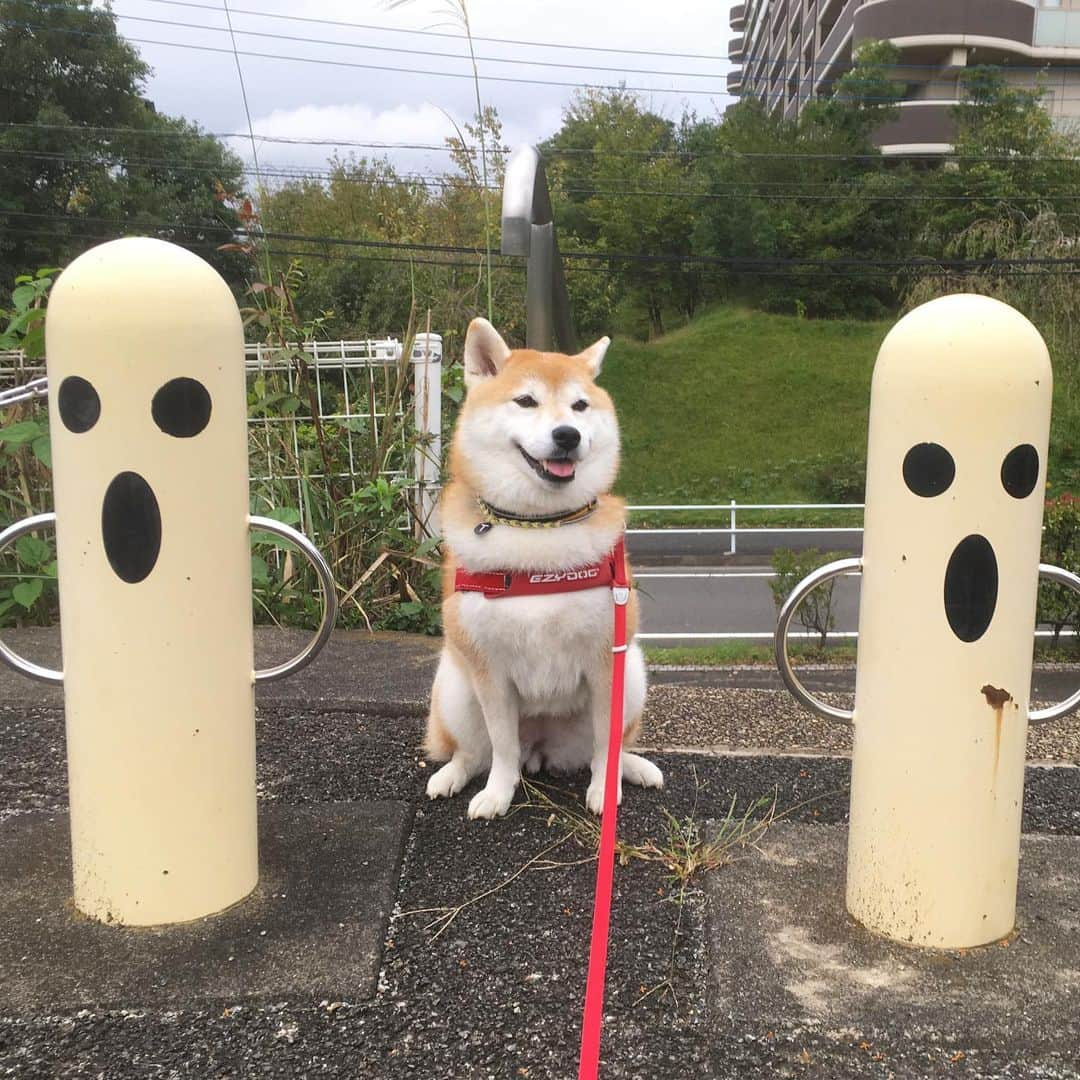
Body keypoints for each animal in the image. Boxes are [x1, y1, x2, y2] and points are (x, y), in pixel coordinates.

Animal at [419, 317, 656, 816]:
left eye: (580, 405)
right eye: (526, 401)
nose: (568, 434)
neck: (539, 529)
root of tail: (542, 750)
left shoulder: (607, 663)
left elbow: (606, 746)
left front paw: (605, 790)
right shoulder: (490, 671)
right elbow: (502, 747)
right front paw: (498, 793)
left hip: (633, 673)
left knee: (607, 748)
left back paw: (634, 768)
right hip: (453, 685)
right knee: (473, 752)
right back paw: (452, 776)